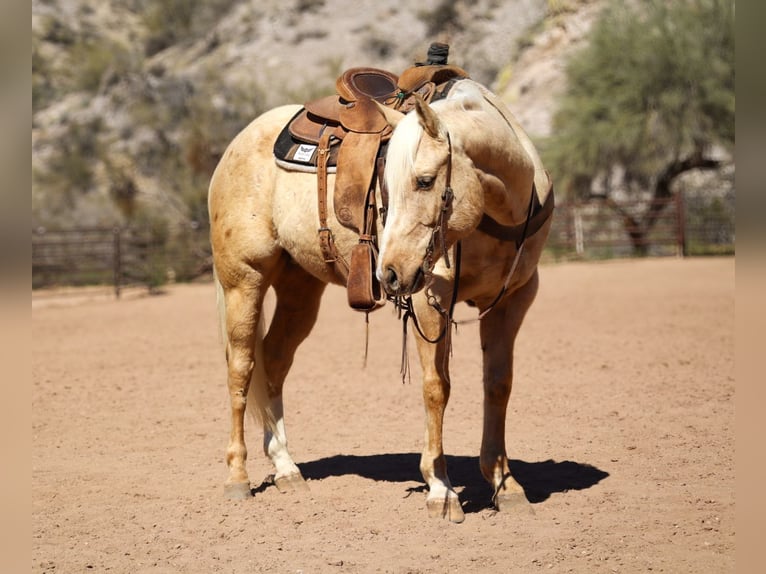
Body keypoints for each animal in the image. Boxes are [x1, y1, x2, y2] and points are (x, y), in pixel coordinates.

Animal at [208, 77, 554, 523]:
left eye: (424, 181)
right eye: (385, 185)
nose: (388, 273)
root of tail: (235, 145)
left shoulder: (513, 300)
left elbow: (498, 385)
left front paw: (504, 485)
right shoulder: (429, 298)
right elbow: (436, 388)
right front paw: (440, 489)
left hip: (299, 289)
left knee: (275, 362)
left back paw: (286, 469)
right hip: (243, 279)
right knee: (242, 368)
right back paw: (237, 477)